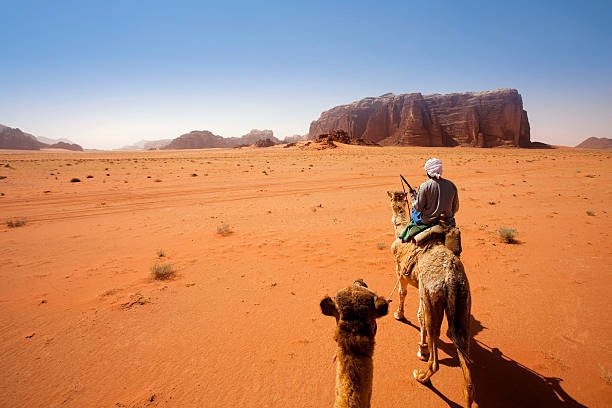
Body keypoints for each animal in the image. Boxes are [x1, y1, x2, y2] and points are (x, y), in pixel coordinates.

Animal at [388, 191, 474, 408]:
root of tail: (451, 278)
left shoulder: (402, 272)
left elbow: (403, 296)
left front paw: (399, 315)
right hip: (464, 301)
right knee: (466, 361)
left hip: (433, 299)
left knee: (435, 360)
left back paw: (421, 376)